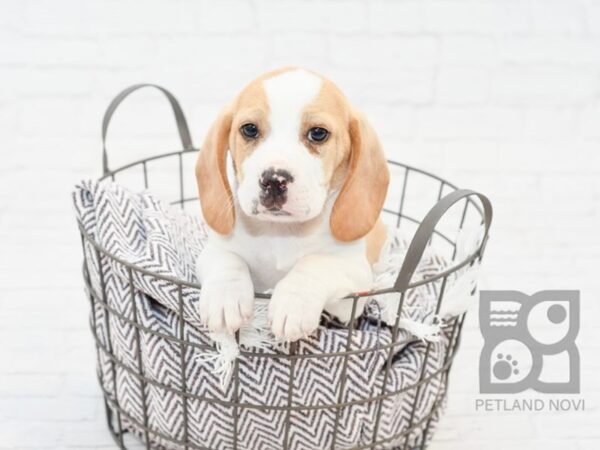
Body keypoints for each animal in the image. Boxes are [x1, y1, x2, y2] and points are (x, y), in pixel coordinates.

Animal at [195, 67, 386, 342]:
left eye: (318, 133)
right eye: (249, 129)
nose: (274, 180)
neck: (280, 232)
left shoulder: (355, 279)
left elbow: (315, 263)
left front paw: (294, 303)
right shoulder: (212, 250)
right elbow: (227, 260)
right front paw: (225, 296)